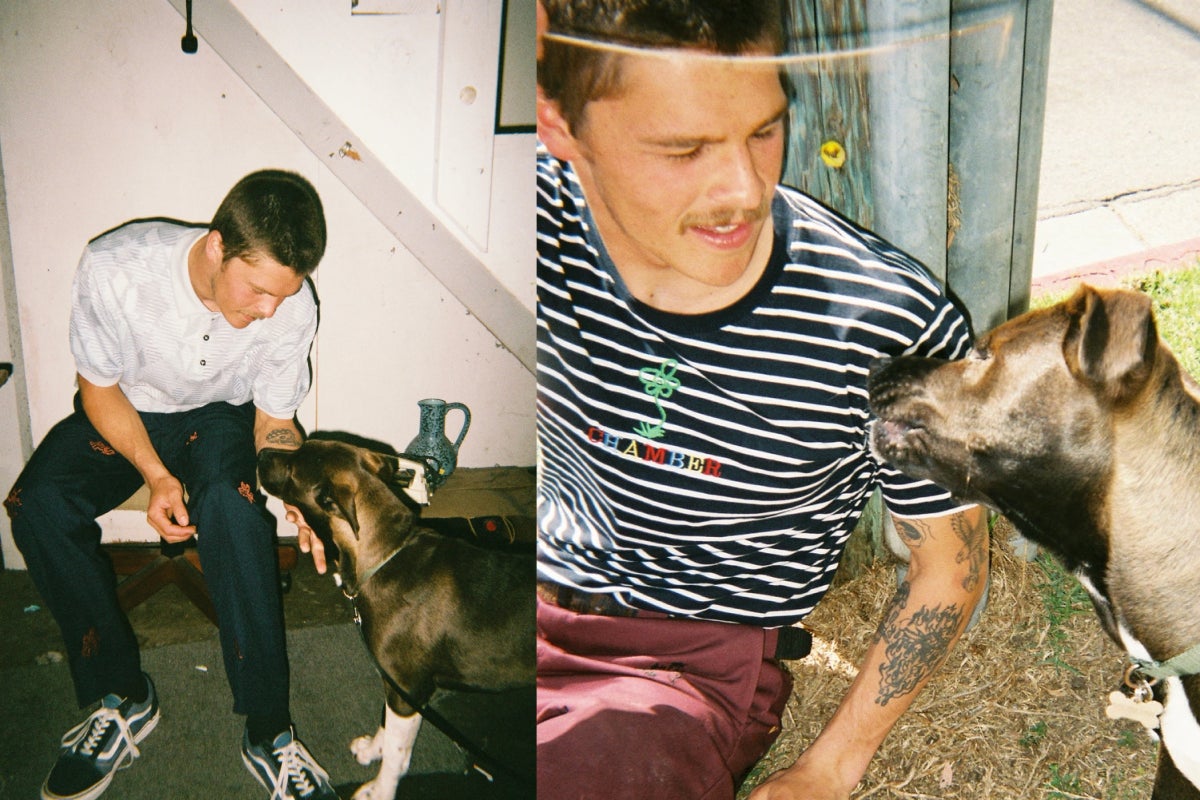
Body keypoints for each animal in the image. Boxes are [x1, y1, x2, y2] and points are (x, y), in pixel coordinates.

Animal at [258, 439, 535, 800]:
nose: (261, 453)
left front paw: (380, 789)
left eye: (292, 469)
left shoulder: (409, 689)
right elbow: (385, 724)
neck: (386, 555)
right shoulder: (395, 685)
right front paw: (373, 749)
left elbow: (397, 753)